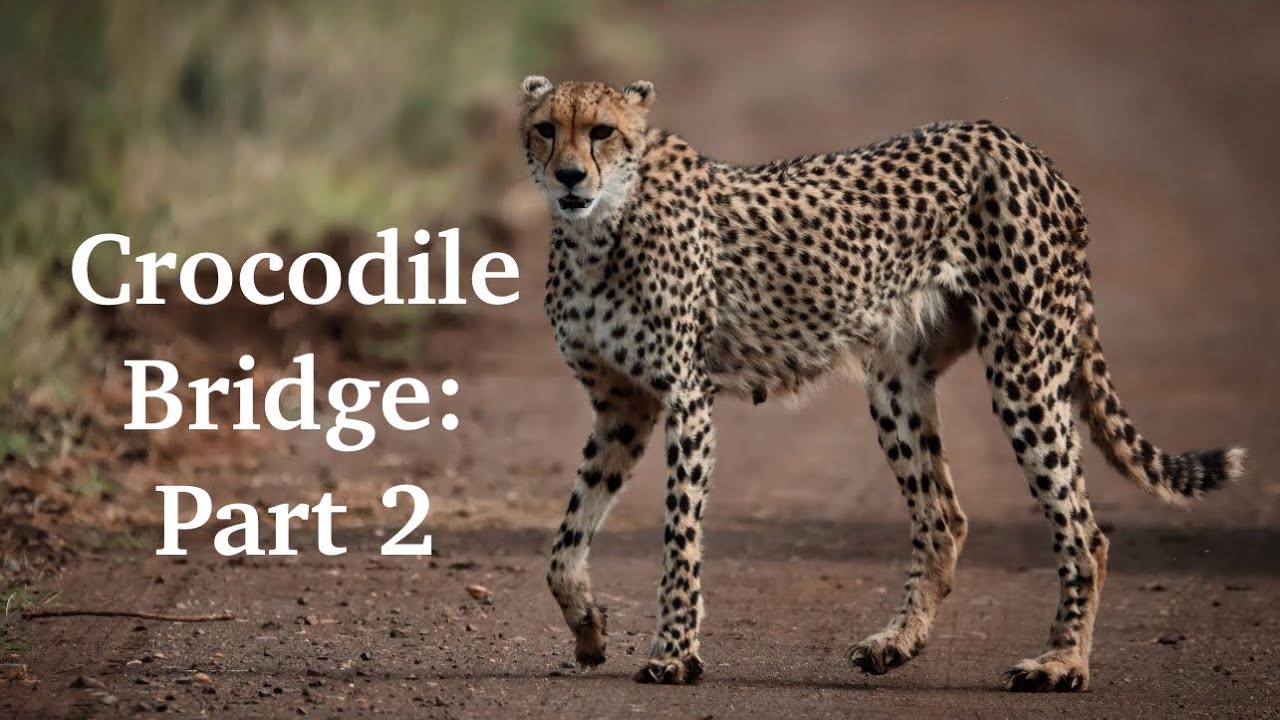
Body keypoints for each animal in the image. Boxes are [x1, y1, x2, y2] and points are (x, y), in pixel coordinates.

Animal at [517, 75, 1246, 691]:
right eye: (546, 129)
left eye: (603, 131)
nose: (570, 176)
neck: (599, 230)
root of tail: (1021, 145)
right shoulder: (623, 407)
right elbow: (564, 542)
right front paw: (589, 630)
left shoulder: (685, 400)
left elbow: (679, 538)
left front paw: (673, 654)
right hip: (897, 381)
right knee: (943, 518)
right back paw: (897, 643)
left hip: (1025, 367)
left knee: (1082, 529)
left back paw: (1061, 663)